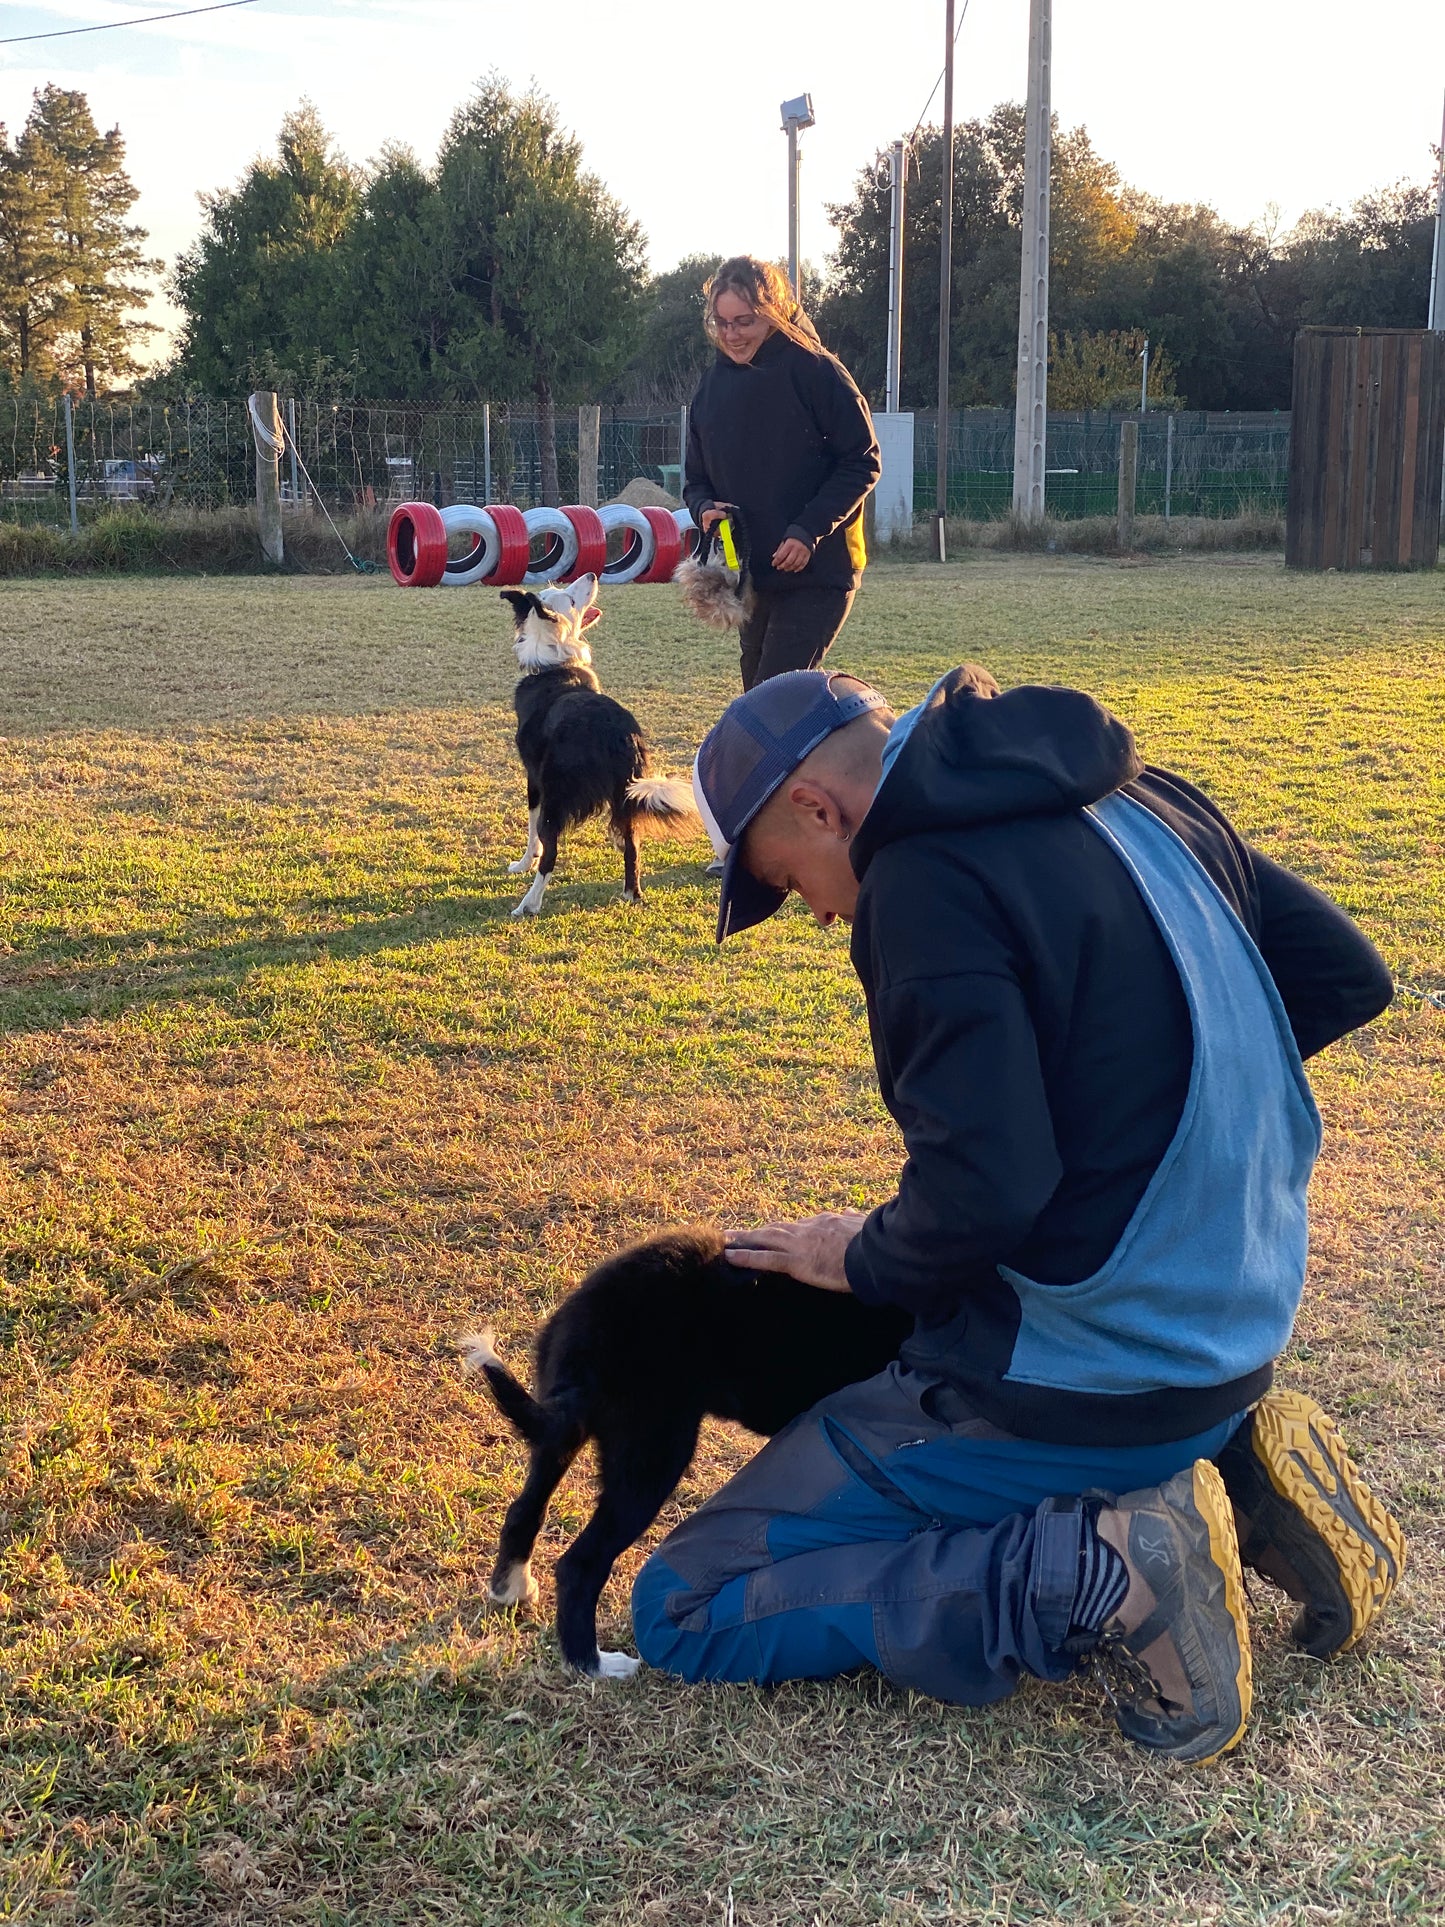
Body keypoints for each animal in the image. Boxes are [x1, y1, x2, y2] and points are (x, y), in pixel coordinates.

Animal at [464, 1233, 909, 1672]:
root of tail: (592, 1322)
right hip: (653, 1455)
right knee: (580, 1564)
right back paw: (594, 1664)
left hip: (561, 1433)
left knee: (523, 1512)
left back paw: (512, 1589)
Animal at [500, 566, 697, 913]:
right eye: (570, 598)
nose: (592, 573)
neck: (553, 663)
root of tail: (617, 732)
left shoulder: (534, 779)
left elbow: (532, 832)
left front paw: (523, 863)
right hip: (626, 794)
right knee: (633, 846)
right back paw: (632, 893)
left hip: (557, 793)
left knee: (550, 853)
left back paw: (529, 904)